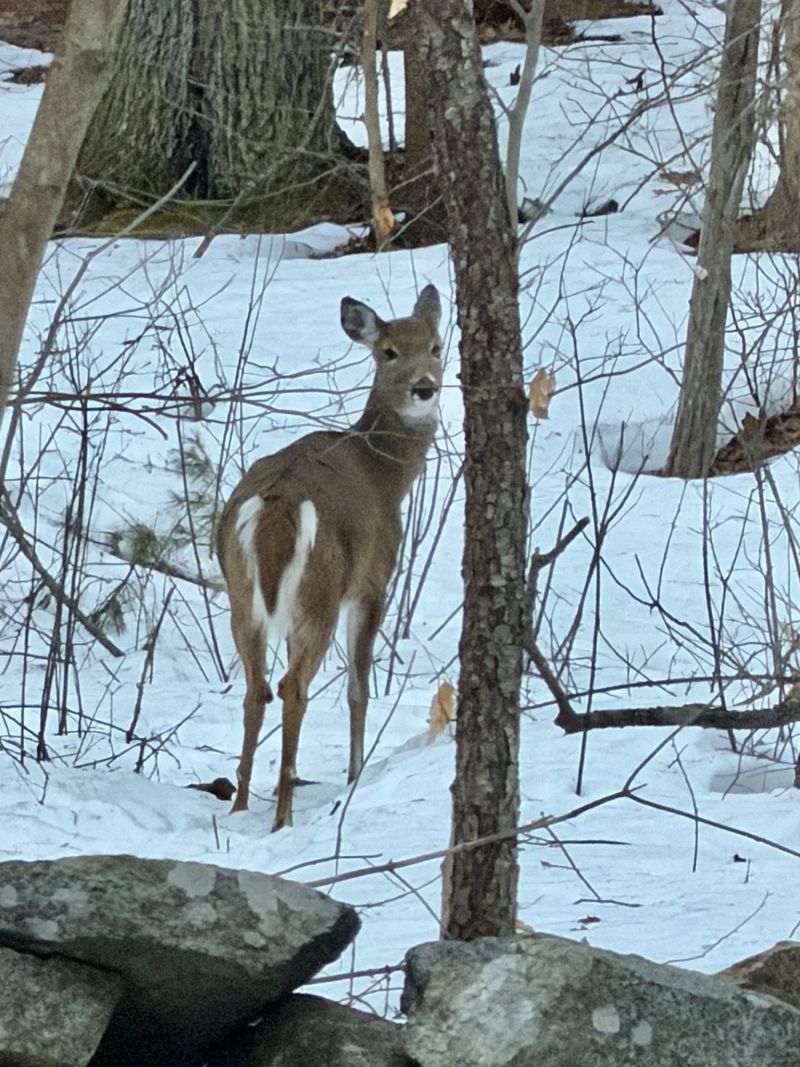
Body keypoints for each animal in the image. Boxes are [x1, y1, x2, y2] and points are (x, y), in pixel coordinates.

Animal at [217, 285, 443, 830]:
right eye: (389, 352)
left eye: (436, 346)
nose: (425, 389)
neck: (385, 476)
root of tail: (277, 505)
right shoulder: (373, 580)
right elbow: (360, 685)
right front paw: (356, 774)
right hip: (320, 590)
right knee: (292, 686)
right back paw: (282, 815)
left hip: (240, 595)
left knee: (256, 688)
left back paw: (240, 805)